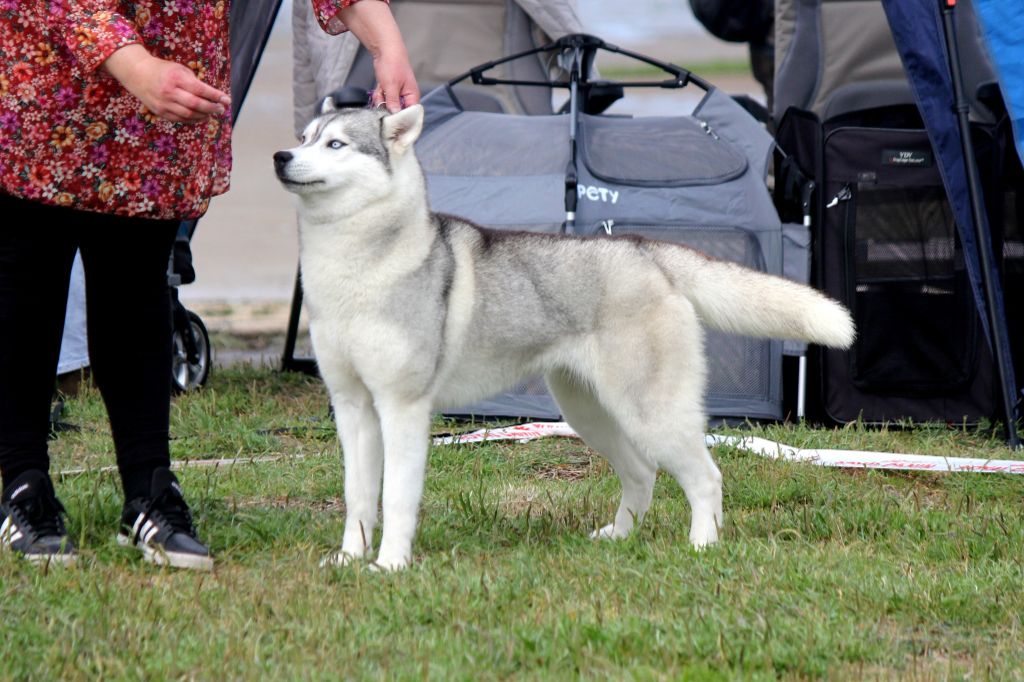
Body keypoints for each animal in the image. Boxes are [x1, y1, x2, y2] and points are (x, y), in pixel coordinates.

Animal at [274, 100, 856, 569]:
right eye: (304, 136)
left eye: (335, 143)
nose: (280, 155)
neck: (358, 269)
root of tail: (647, 252)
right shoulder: (353, 407)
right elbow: (357, 494)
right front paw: (351, 559)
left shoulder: (403, 407)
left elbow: (395, 497)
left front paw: (391, 565)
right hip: (589, 412)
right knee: (642, 473)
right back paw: (619, 536)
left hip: (650, 412)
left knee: (705, 478)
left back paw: (702, 546)